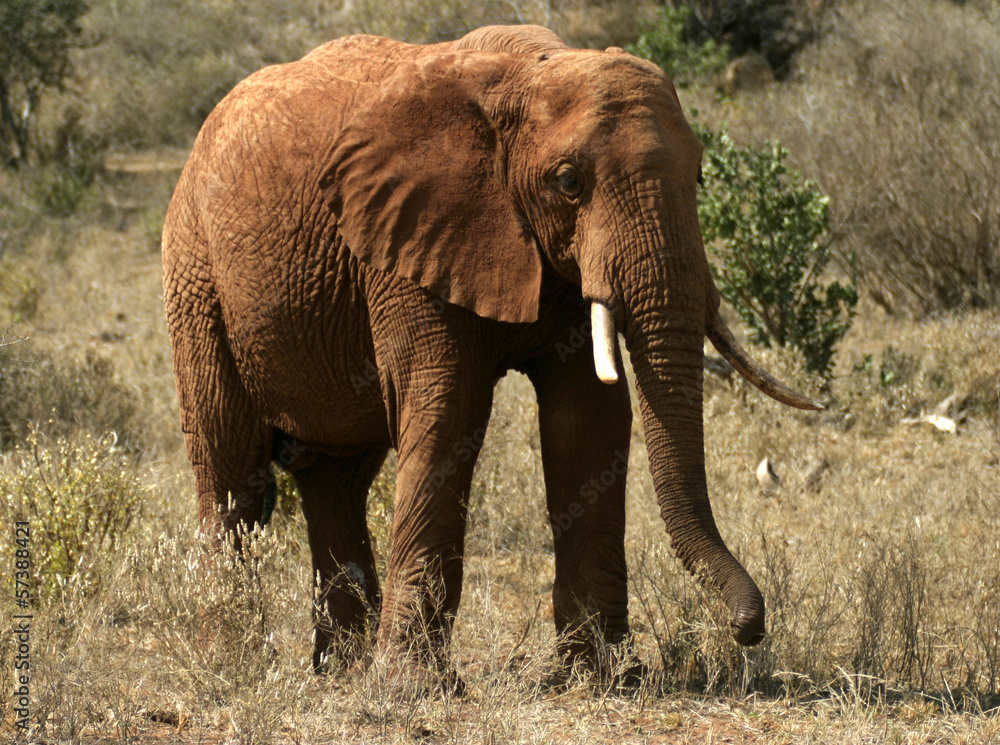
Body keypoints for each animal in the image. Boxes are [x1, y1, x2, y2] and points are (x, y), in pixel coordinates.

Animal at [162, 24, 819, 682]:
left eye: (701, 176)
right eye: (568, 182)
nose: (747, 631)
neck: (526, 73)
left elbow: (587, 417)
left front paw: (601, 675)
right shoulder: (404, 241)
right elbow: (447, 405)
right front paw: (414, 686)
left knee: (335, 480)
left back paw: (340, 670)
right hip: (195, 274)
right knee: (231, 470)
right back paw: (232, 660)